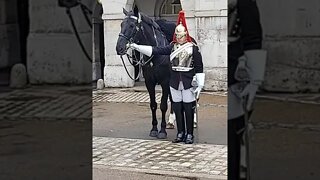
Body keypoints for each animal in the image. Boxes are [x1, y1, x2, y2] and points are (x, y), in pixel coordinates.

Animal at [115, 6, 172, 139]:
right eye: (121, 24)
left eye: (132, 25)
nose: (119, 48)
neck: (155, 52)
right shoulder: (149, 82)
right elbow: (153, 105)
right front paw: (154, 129)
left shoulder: (165, 82)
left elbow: (163, 105)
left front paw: (162, 131)